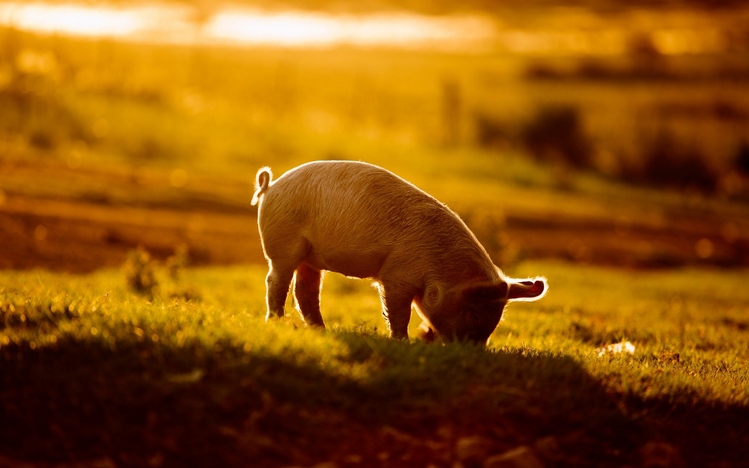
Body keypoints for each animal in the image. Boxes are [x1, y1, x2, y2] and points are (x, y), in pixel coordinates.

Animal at [251, 161, 544, 344]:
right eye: (473, 314)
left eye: (496, 320)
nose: (473, 351)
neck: (438, 265)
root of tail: (270, 187)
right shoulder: (397, 274)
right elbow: (399, 311)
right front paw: (403, 340)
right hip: (283, 244)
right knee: (275, 281)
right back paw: (276, 322)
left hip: (310, 259)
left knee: (306, 291)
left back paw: (321, 330)